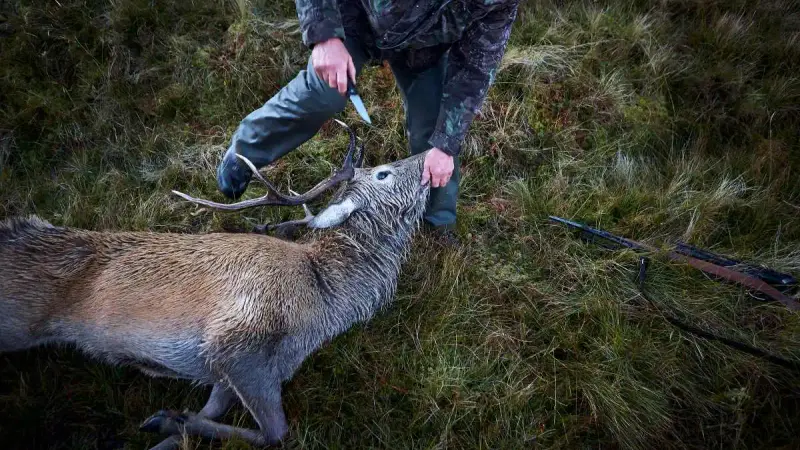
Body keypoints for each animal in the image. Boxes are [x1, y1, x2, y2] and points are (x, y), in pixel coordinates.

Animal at [0, 120, 433, 449]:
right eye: (384, 172)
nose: (430, 152)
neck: (325, 301)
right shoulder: (237, 340)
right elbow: (276, 433)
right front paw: (167, 420)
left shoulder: (230, 369)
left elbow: (209, 412)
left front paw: (170, 426)